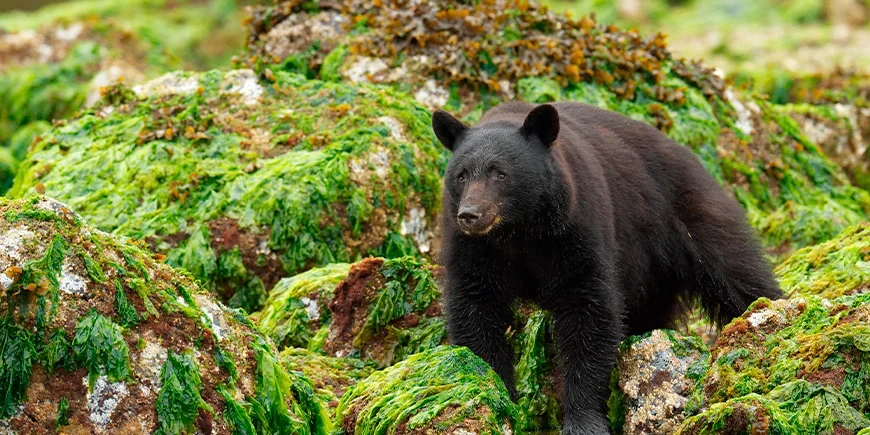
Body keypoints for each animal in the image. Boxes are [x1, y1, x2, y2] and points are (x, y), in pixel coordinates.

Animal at [431, 101, 782, 435]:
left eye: (499, 173)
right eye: (461, 174)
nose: (470, 214)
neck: (519, 233)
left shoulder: (576, 227)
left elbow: (588, 312)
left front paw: (583, 420)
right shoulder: (473, 249)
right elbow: (477, 308)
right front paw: (496, 393)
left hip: (686, 216)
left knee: (734, 270)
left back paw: (768, 310)